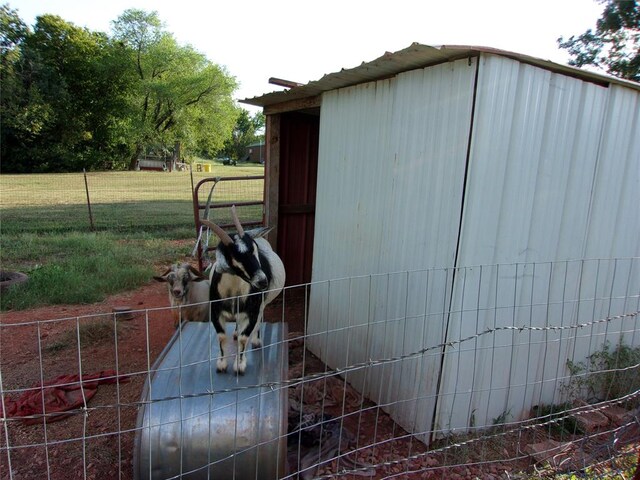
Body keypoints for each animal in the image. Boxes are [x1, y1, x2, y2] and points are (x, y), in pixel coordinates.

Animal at [202, 206, 284, 376]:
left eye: (255, 250)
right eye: (233, 257)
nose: (262, 281)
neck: (233, 291)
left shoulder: (252, 311)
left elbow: (244, 339)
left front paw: (239, 365)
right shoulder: (215, 311)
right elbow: (221, 337)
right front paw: (221, 364)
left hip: (262, 304)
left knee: (259, 319)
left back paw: (257, 340)